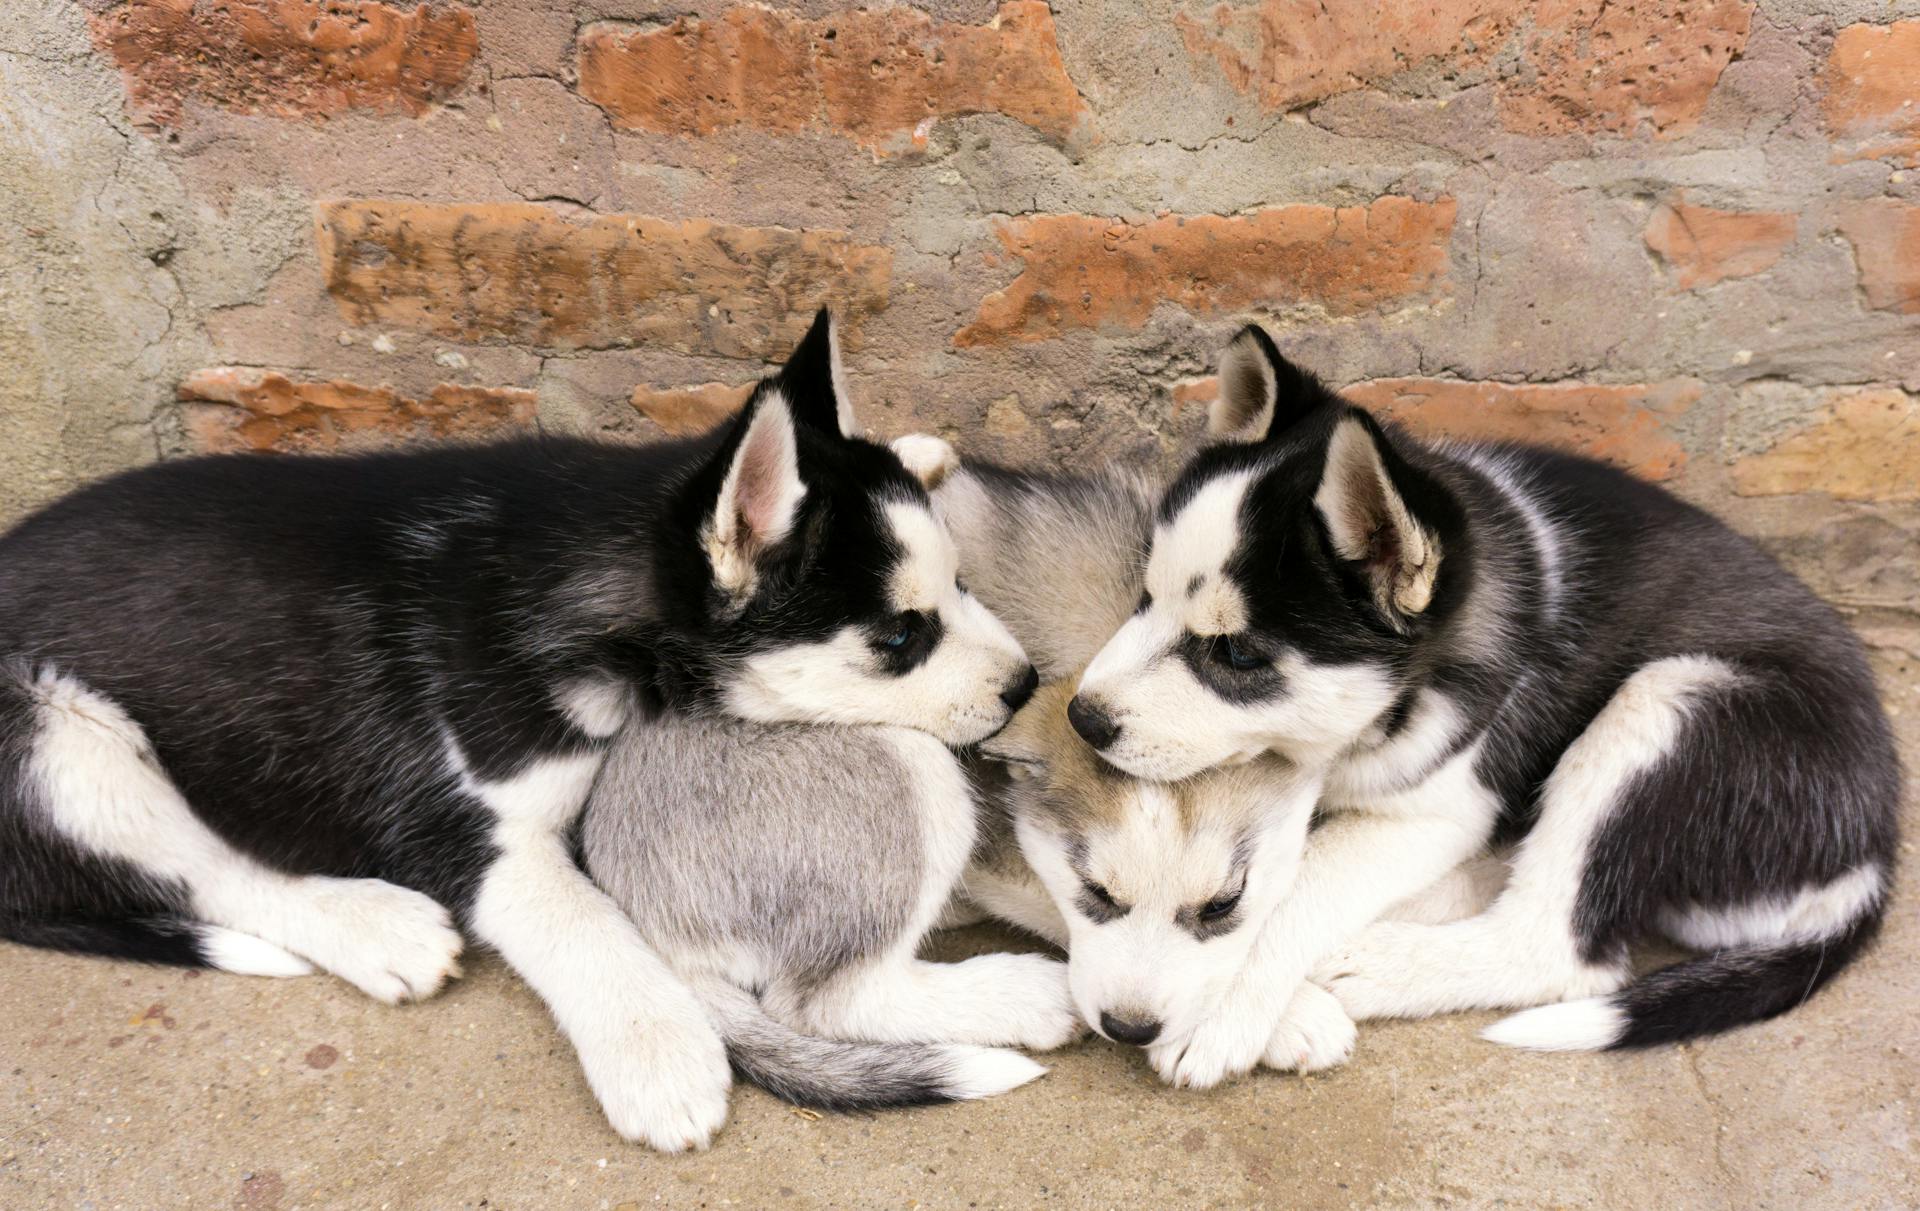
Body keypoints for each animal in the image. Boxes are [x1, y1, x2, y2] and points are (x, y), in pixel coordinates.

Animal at [0, 310, 1036, 1143]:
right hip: (60, 740)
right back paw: (378, 928)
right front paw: (659, 1052)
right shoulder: (463, 826)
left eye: (963, 585)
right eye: (900, 637)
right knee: (206, 867)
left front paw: (914, 445)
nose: (1028, 685)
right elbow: (584, 921)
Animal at [1075, 324, 1896, 1090]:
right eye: (1144, 596)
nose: (1082, 718)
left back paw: (1375, 961)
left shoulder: (1443, 801)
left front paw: (1217, 1007)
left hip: (1672, 699)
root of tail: (1874, 848)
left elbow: (1295, 881)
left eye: (1238, 656)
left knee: (1558, 948)